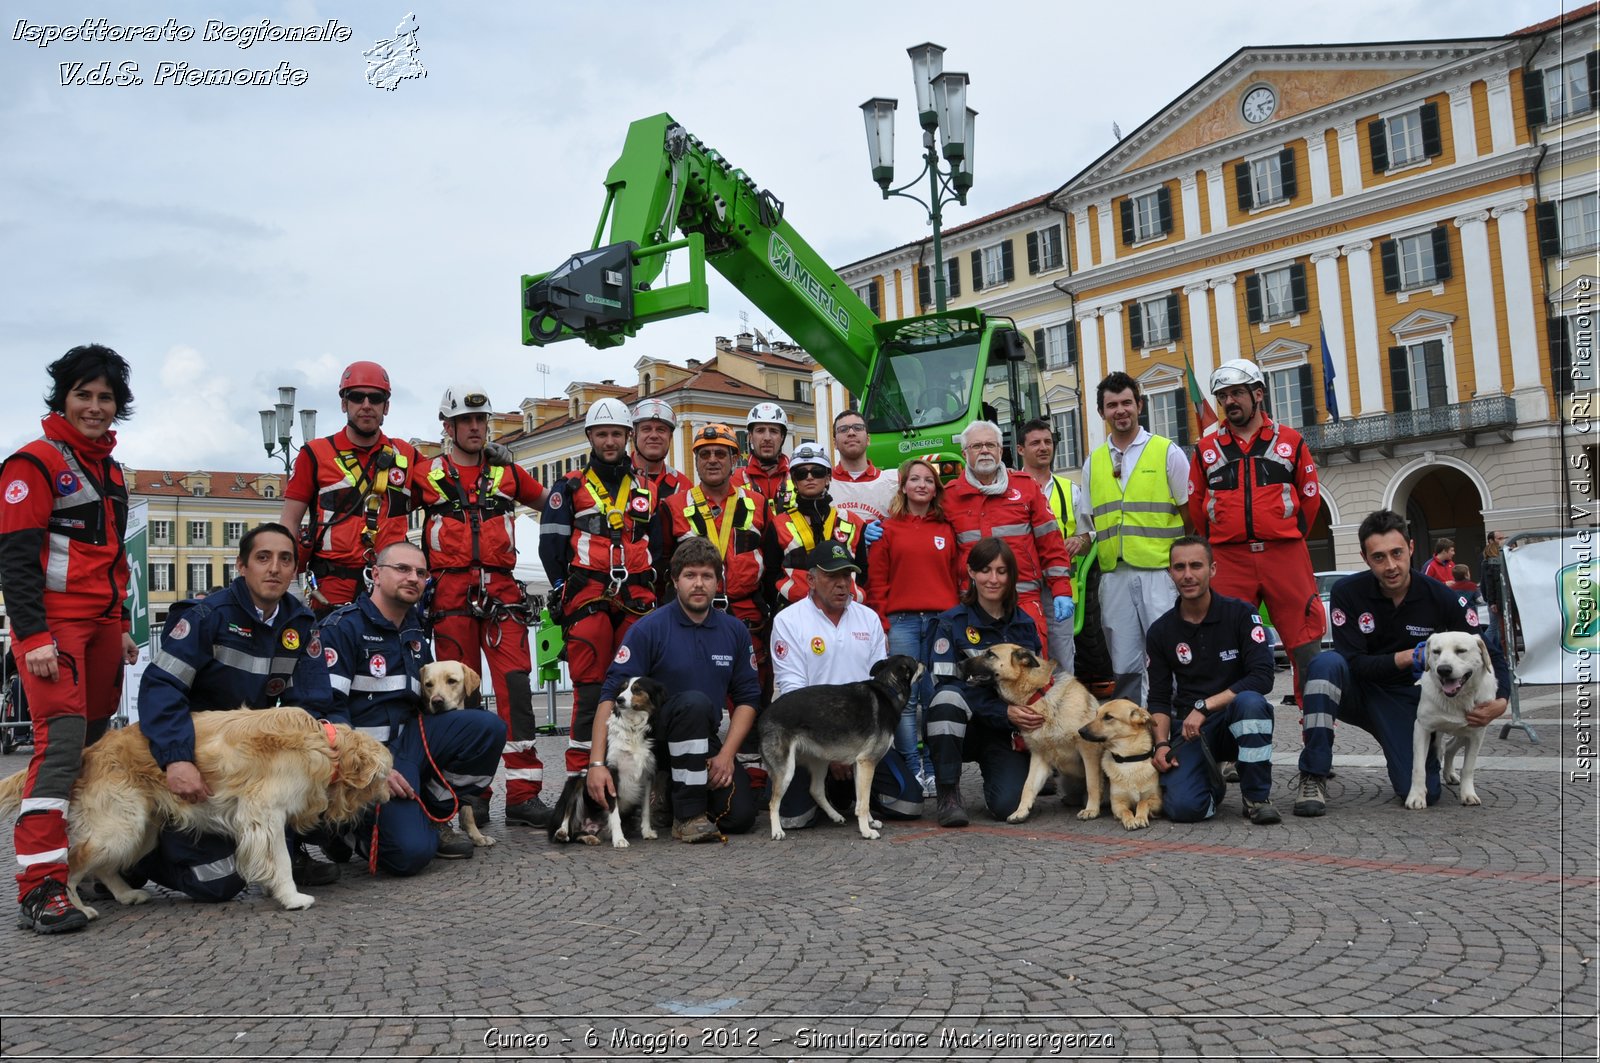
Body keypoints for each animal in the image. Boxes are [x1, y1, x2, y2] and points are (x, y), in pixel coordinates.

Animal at [0, 704, 393, 915]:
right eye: (383, 777)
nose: (390, 797)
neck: (325, 748)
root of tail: (90, 751)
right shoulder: (264, 812)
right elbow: (280, 859)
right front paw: (292, 896)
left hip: (142, 829)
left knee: (105, 867)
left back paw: (126, 894)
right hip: (119, 827)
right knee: (70, 863)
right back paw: (78, 908)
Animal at [419, 659, 499, 851]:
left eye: (452, 681)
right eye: (428, 684)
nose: (437, 701)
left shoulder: (459, 775)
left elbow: (467, 810)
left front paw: (477, 836)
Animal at [953, 643, 1107, 826]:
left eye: (990, 654)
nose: (959, 664)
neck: (1037, 694)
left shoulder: (1089, 750)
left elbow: (1092, 783)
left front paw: (1092, 810)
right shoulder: (1039, 757)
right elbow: (1028, 786)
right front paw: (1020, 811)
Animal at [1075, 697, 1164, 832]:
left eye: (1108, 717)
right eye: (1096, 714)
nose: (1080, 731)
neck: (1128, 760)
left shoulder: (1157, 800)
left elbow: (1142, 802)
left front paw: (1139, 818)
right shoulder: (1117, 804)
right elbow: (1126, 811)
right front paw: (1130, 820)